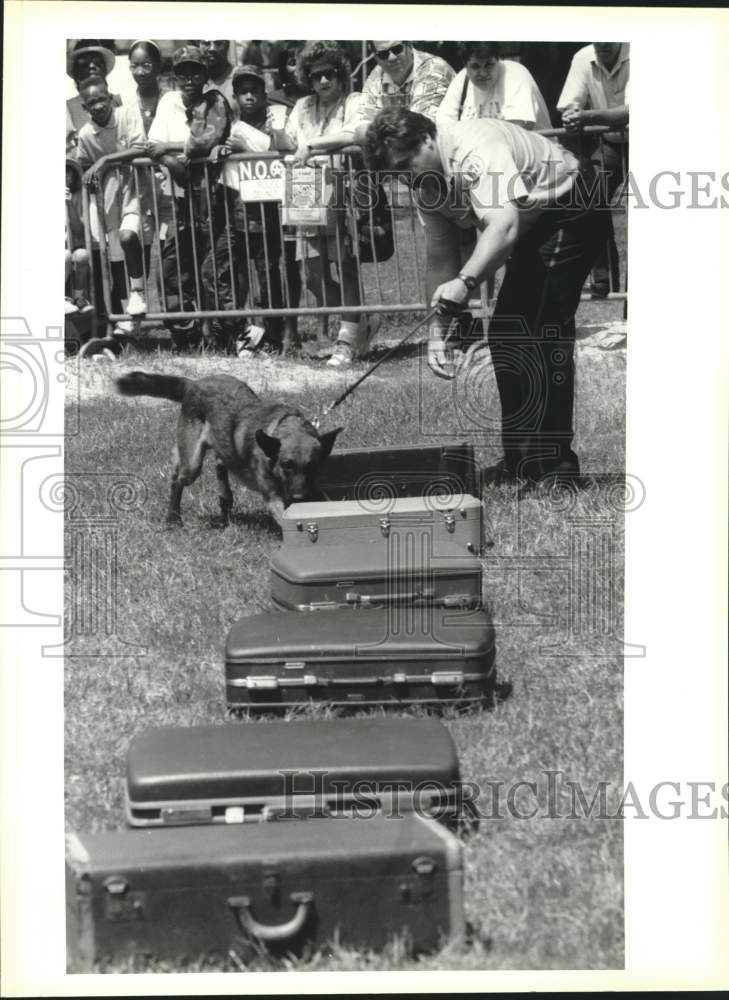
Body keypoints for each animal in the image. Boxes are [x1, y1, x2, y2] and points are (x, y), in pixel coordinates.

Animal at [115, 372, 342, 528]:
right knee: (177, 480)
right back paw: (173, 519)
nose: (299, 498)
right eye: (286, 465)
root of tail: (194, 383)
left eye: (312, 466)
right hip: (193, 465)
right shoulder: (273, 498)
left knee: (214, 467)